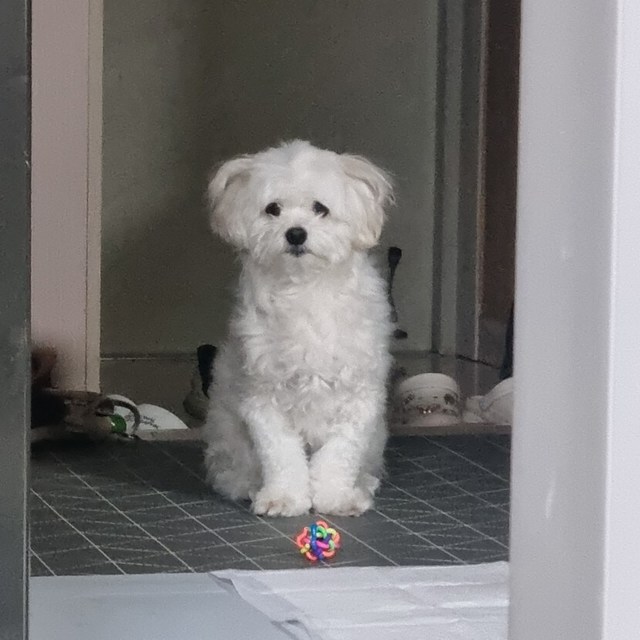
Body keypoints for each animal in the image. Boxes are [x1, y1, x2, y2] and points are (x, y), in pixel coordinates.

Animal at [203, 140, 394, 517]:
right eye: (273, 209)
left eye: (320, 208)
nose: (295, 233)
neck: (305, 290)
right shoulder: (263, 398)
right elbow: (281, 454)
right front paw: (284, 497)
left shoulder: (358, 397)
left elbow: (339, 454)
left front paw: (336, 496)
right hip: (226, 425)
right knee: (231, 466)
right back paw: (244, 484)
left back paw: (362, 483)